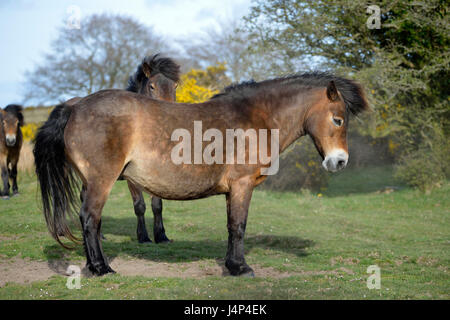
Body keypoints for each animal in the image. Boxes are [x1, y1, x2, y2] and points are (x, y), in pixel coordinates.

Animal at [33, 71, 368, 276]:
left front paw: (232, 265)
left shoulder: (233, 190)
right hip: (101, 182)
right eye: (338, 120)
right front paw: (240, 268)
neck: (254, 118)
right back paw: (102, 268)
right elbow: (239, 226)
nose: (340, 161)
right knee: (90, 219)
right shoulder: (242, 185)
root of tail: (75, 108)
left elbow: (231, 226)